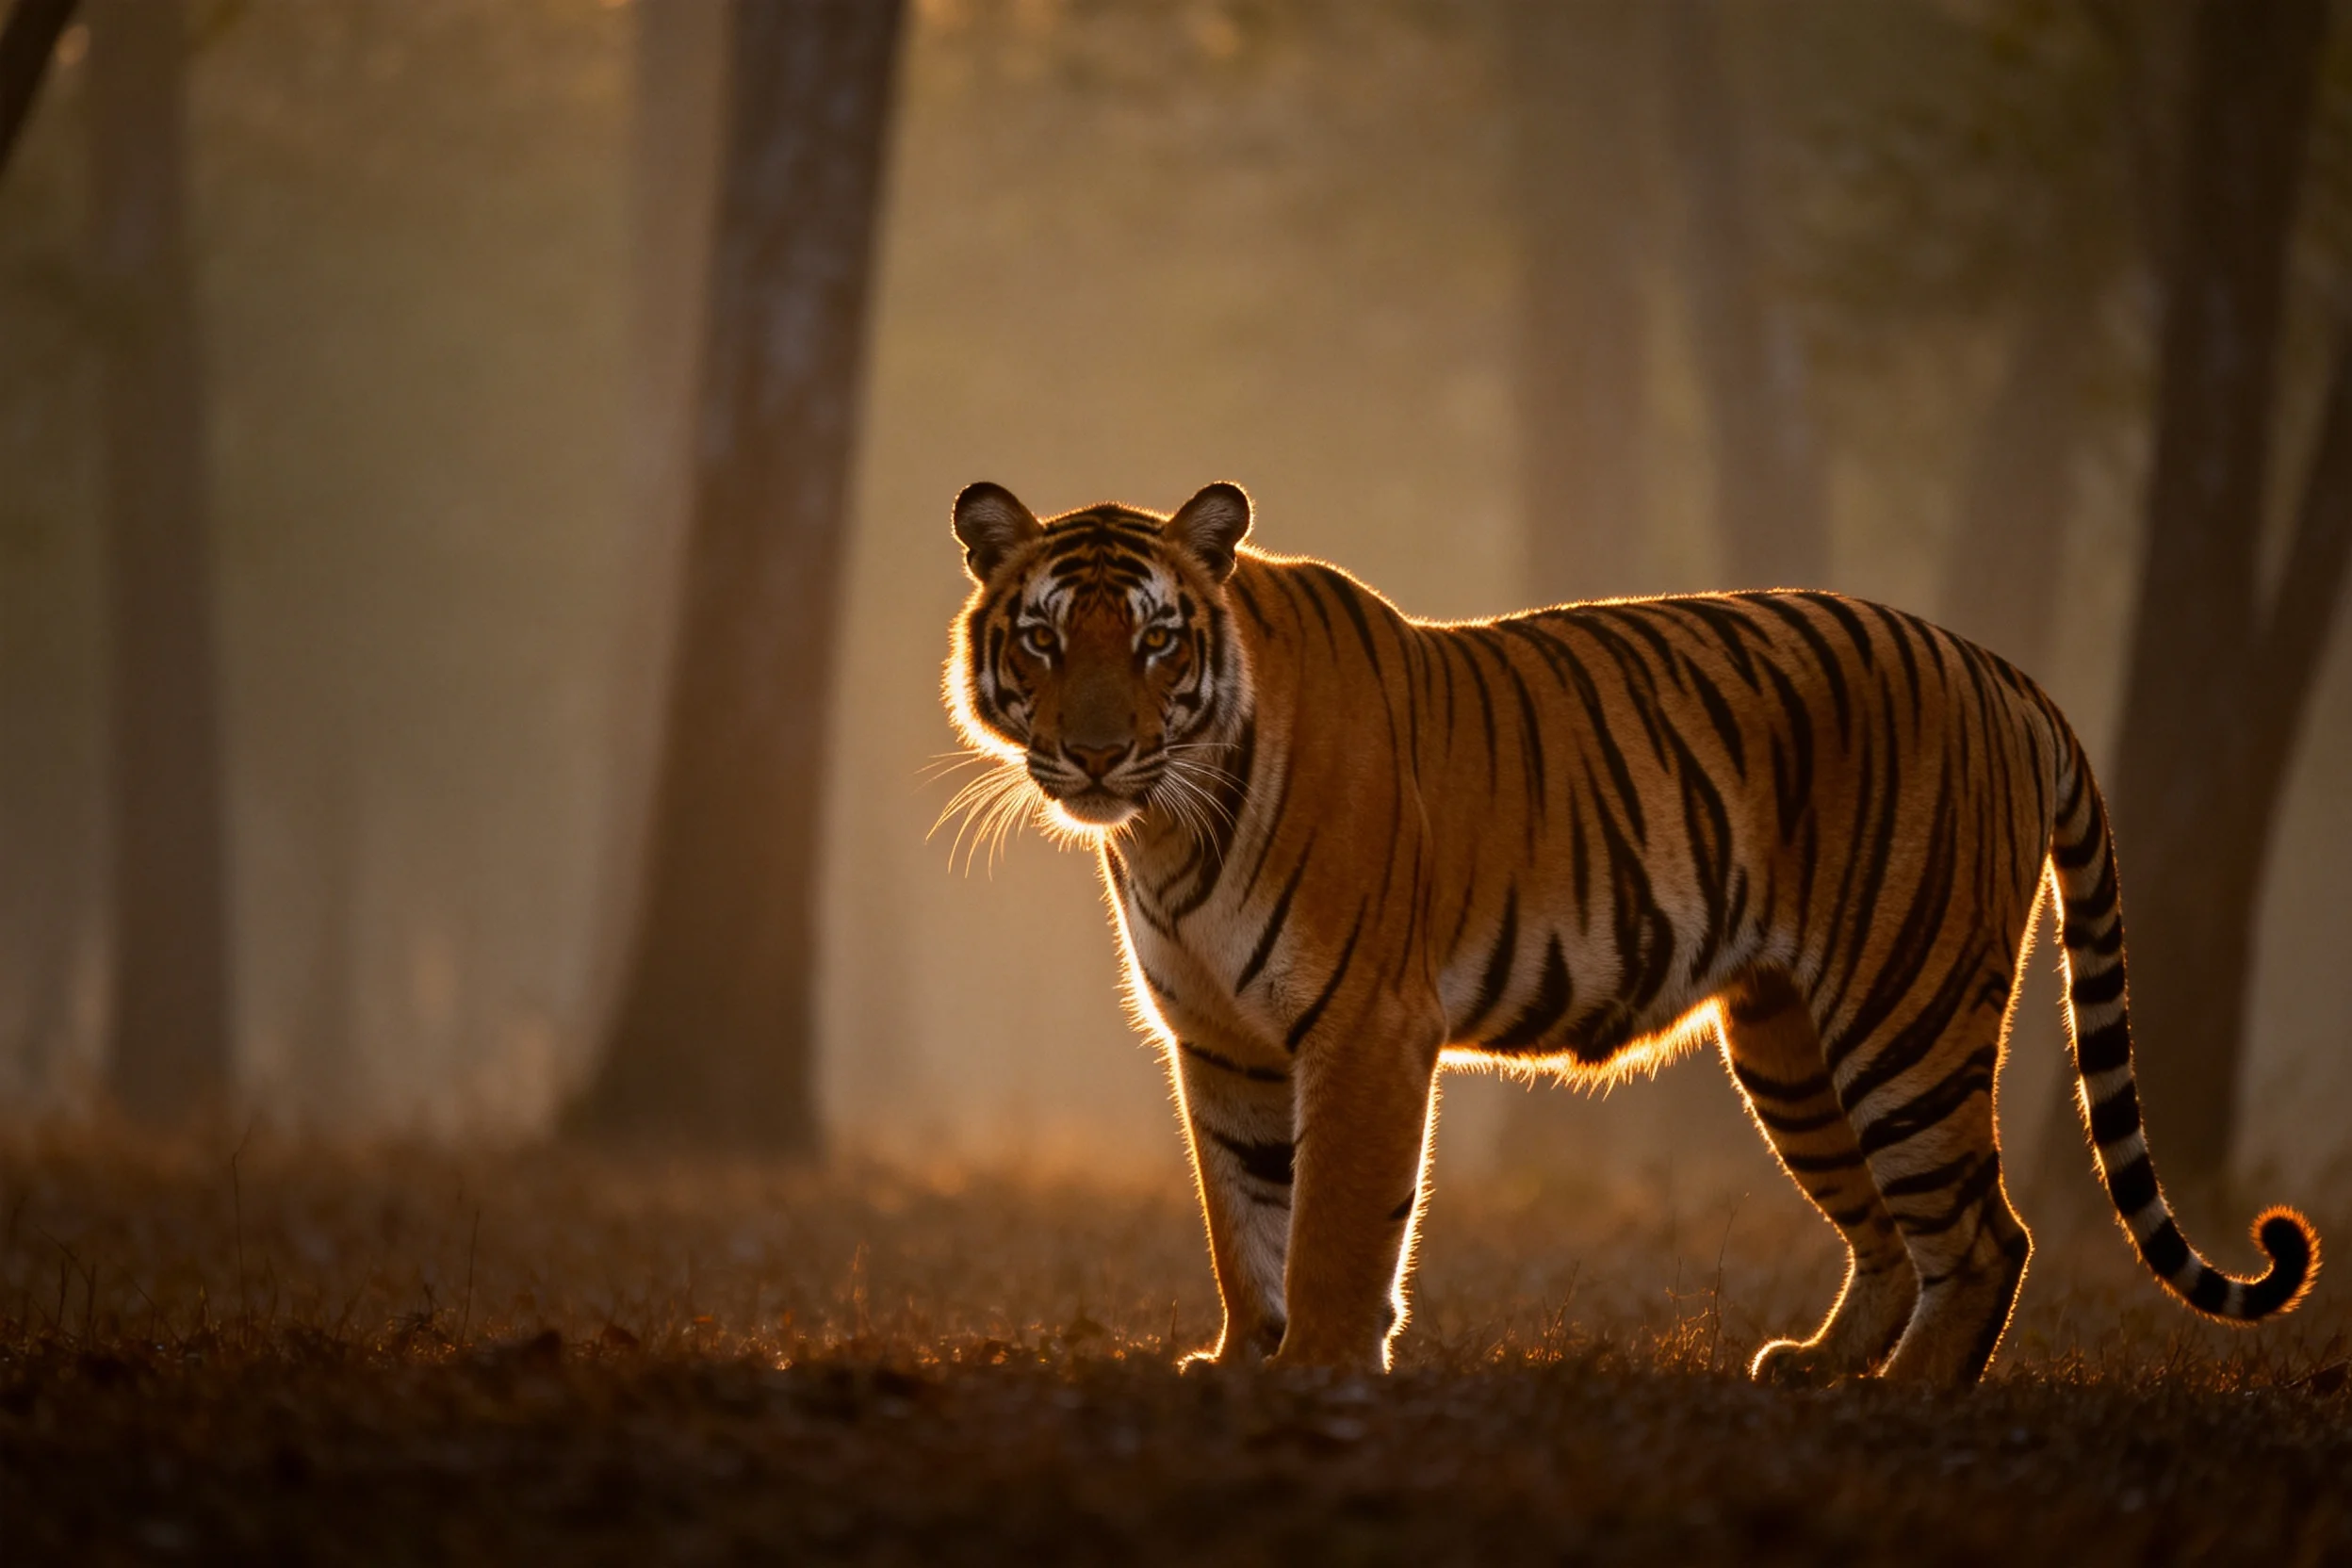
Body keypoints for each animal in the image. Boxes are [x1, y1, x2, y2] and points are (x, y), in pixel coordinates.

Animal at [938, 478, 2319, 1387]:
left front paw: (1317, 1369)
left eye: (1157, 639)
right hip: (1793, 1044)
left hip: (1905, 1010)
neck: (1167, 829)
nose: (1096, 751)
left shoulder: (1363, 1026)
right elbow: (1244, 1218)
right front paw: (1240, 1360)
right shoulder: (1222, 1042)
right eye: (1044, 637)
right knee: (1888, 1229)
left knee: (1984, 1234)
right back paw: (1818, 1367)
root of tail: (2004, 672)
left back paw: (1908, 1402)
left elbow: (1332, 1220)